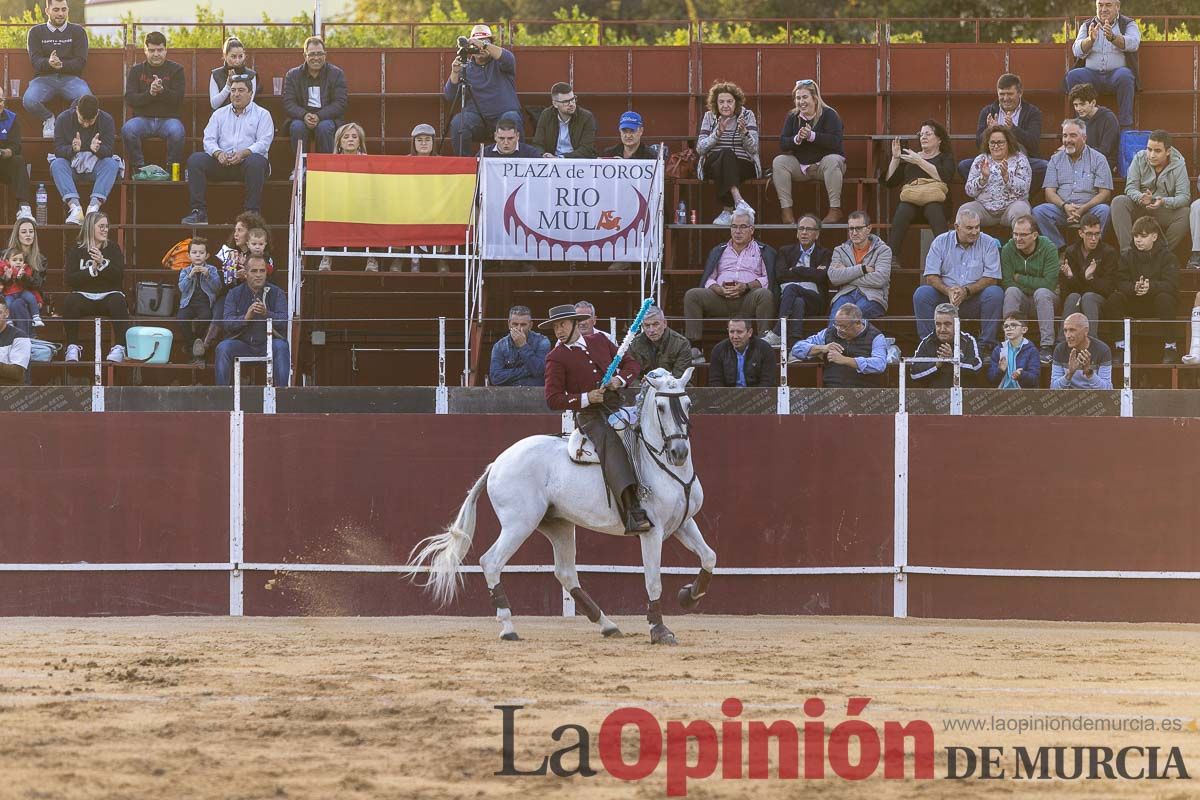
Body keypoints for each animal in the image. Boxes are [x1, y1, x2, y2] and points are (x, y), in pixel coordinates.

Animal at [408, 369, 715, 642]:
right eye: (661, 407)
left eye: (687, 404)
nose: (678, 453)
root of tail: (497, 462)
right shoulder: (651, 532)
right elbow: (653, 580)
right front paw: (659, 630)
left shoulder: (683, 523)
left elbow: (709, 557)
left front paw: (688, 596)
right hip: (519, 524)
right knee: (491, 561)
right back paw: (508, 628)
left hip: (558, 525)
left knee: (565, 572)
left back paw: (608, 625)